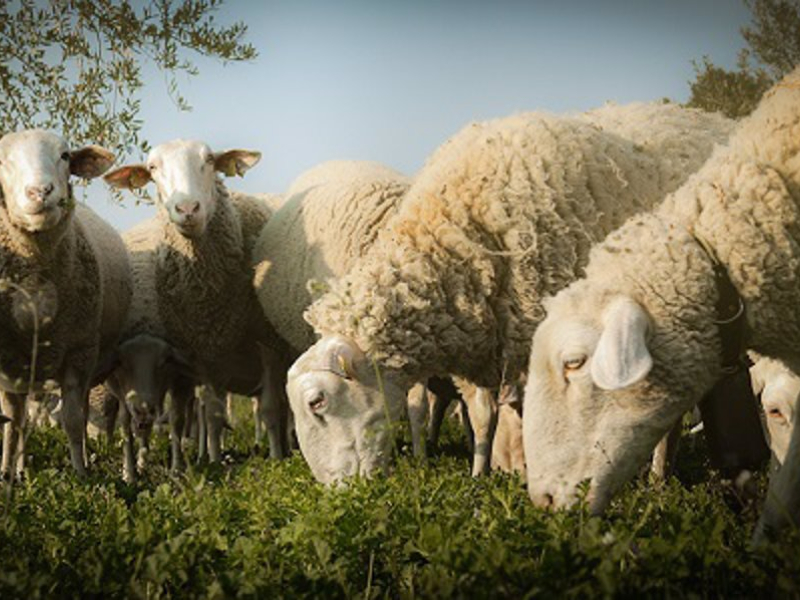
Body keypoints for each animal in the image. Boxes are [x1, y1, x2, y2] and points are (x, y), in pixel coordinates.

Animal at [0, 129, 130, 476]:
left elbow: (72, 421)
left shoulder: (79, 353)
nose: (40, 191)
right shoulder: (8, 363)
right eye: (3, 159)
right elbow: (12, 424)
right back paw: (20, 470)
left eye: (65, 156)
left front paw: (81, 474)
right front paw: (7, 474)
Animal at [101, 139, 286, 464]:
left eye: (210, 160)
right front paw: (212, 461)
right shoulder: (207, 352)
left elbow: (270, 409)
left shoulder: (269, 346)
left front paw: (277, 461)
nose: (187, 208)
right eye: (152, 168)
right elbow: (211, 414)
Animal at [284, 99, 736, 482]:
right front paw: (482, 474)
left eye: (317, 403)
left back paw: (660, 475)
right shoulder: (487, 341)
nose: (339, 491)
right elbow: (485, 415)